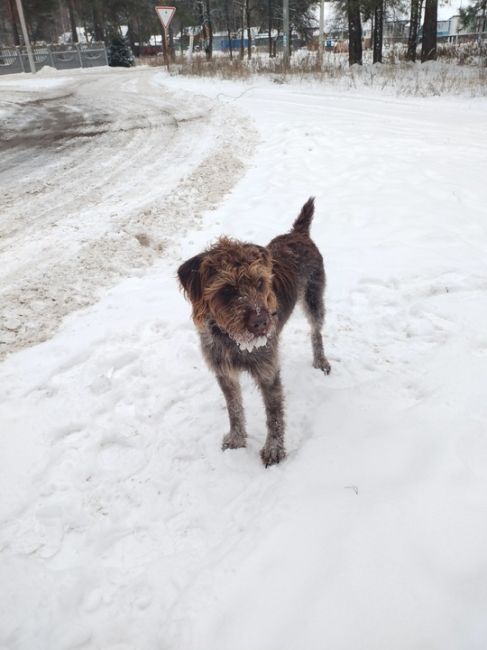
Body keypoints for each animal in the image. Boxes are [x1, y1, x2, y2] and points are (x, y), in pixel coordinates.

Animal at [179, 197, 332, 466]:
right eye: (227, 290)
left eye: (260, 282)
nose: (262, 322)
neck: (234, 341)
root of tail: (298, 233)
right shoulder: (224, 373)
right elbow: (234, 409)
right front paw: (237, 439)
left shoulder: (268, 371)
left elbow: (274, 415)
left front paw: (274, 449)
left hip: (314, 300)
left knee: (316, 331)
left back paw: (320, 361)